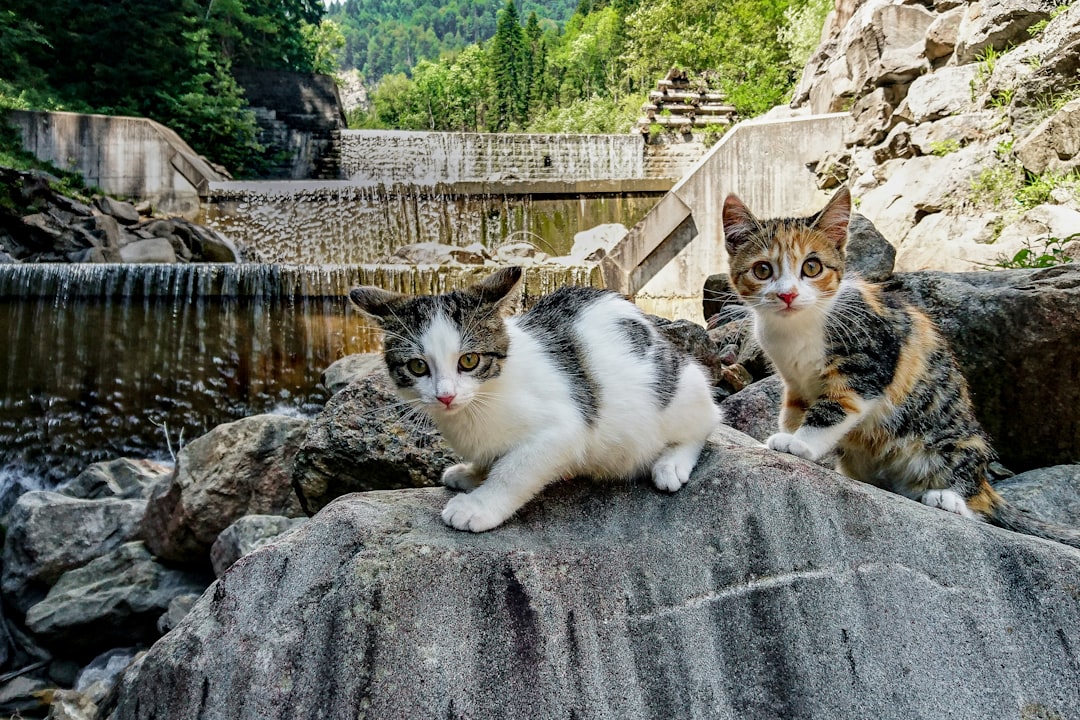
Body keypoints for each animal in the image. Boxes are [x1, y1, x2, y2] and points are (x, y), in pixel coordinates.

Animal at [349, 267, 721, 533]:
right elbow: (493, 458)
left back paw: (671, 463)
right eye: (417, 366)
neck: (482, 400)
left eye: (469, 360)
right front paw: (473, 473)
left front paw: (478, 505)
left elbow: (515, 470)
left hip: (682, 390)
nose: (446, 396)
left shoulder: (565, 428)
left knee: (706, 422)